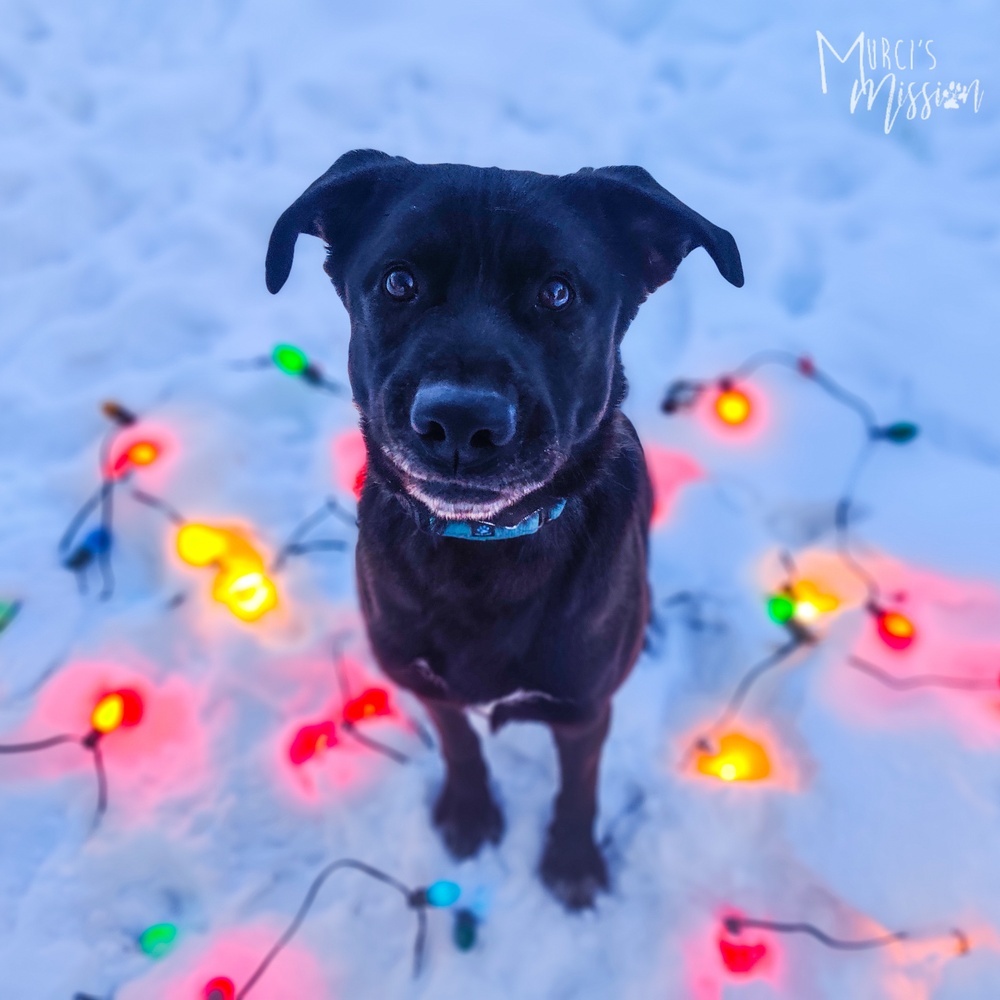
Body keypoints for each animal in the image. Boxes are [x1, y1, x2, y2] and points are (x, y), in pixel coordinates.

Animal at [266, 152, 744, 912]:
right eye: (399, 281)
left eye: (557, 292)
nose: (460, 421)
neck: (482, 554)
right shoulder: (424, 681)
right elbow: (460, 743)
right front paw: (469, 813)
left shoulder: (582, 711)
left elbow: (579, 789)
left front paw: (572, 863)